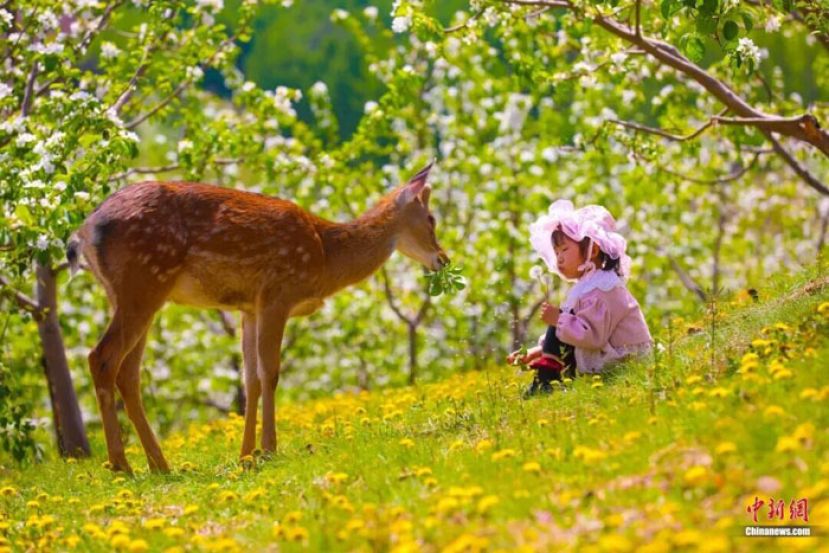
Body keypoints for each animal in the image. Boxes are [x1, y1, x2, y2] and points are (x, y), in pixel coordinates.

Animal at [67, 161, 448, 473]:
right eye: (431, 219)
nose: (443, 259)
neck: (325, 256)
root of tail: (82, 232)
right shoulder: (278, 293)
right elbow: (271, 373)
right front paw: (270, 449)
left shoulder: (248, 308)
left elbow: (250, 379)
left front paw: (246, 455)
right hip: (143, 282)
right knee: (101, 357)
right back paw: (122, 465)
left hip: (130, 293)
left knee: (128, 372)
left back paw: (159, 464)